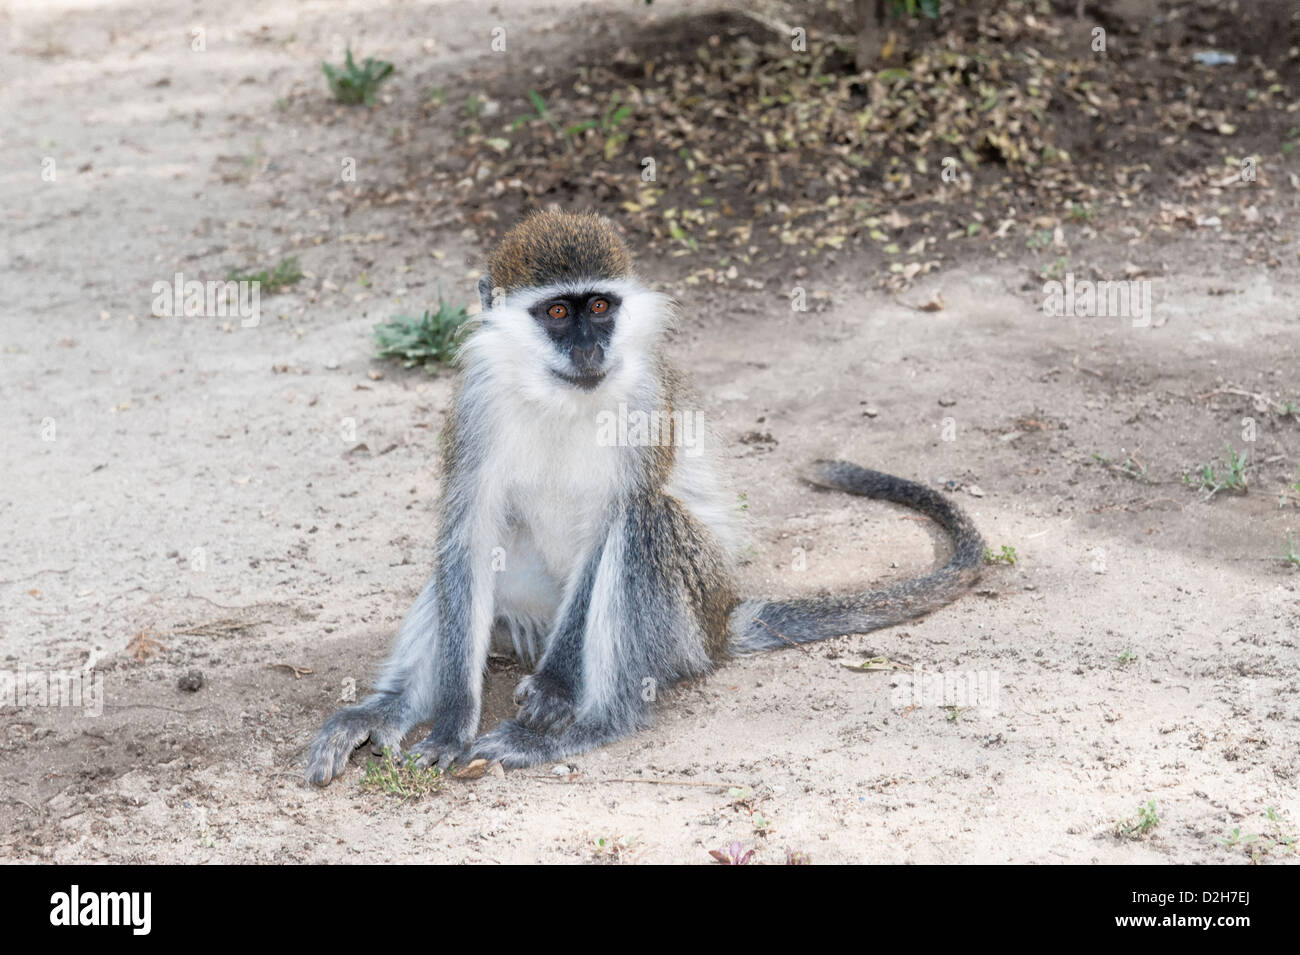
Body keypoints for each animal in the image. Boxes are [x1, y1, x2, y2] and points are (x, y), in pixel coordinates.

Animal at [301, 210, 977, 784]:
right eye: (557, 312)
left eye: (600, 306)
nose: (590, 349)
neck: (558, 394)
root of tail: (724, 619)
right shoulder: (475, 402)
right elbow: (468, 535)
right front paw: (447, 724)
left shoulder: (647, 397)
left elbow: (614, 521)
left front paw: (552, 694)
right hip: (527, 607)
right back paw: (384, 712)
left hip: (687, 617)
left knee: (645, 521)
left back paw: (586, 726)